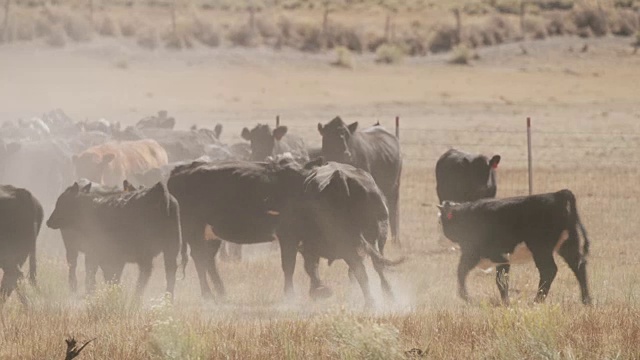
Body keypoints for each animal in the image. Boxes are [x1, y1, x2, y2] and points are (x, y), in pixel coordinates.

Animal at [45, 181, 184, 296]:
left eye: (62, 202)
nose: (48, 221)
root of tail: (157, 193)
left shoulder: (103, 255)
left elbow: (105, 274)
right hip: (171, 249)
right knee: (169, 272)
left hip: (145, 252)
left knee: (145, 273)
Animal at [438, 190, 592, 306]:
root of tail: (558, 194)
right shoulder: (502, 259)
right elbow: (501, 281)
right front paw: (506, 302)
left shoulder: (474, 253)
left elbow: (461, 271)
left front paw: (466, 297)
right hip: (567, 245)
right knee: (578, 266)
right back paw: (586, 300)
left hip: (541, 249)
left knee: (549, 270)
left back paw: (537, 300)